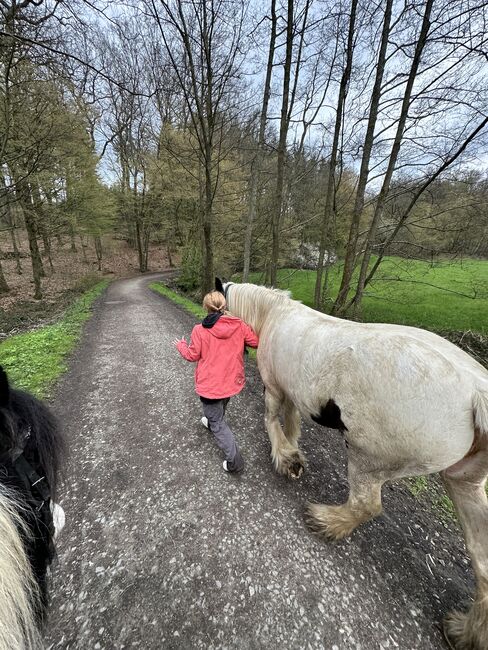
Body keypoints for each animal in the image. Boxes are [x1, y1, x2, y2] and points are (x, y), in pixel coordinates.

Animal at [219, 278, 488, 648]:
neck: (274, 313)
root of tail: (476, 392)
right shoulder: (293, 395)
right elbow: (292, 423)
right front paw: (293, 452)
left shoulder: (274, 388)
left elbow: (273, 421)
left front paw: (287, 459)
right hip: (463, 481)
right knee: (482, 560)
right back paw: (465, 631)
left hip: (367, 460)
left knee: (366, 504)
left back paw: (326, 521)